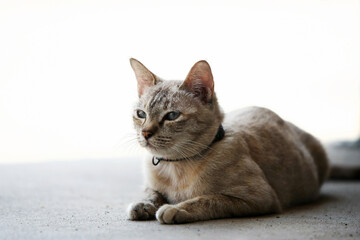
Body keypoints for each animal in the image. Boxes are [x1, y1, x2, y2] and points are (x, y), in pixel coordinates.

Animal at [126, 57, 330, 223]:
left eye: (172, 116)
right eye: (141, 114)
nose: (145, 133)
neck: (175, 166)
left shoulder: (258, 197)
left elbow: (208, 199)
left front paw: (174, 209)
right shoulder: (151, 186)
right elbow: (151, 193)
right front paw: (142, 205)